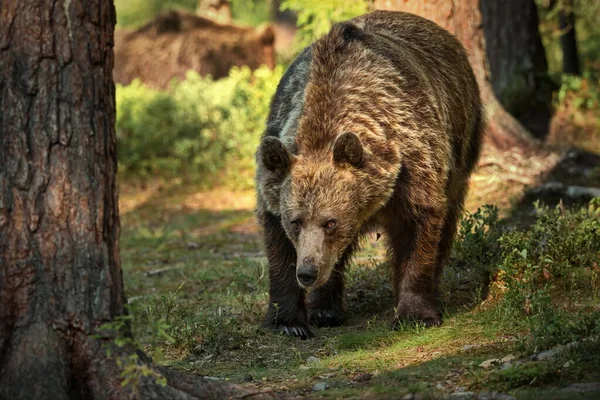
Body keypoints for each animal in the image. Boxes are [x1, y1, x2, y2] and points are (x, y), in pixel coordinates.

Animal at [255, 10, 486, 340]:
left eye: (330, 222)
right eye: (295, 221)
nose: (308, 272)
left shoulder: (412, 162)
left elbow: (419, 227)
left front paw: (415, 313)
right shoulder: (278, 164)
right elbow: (279, 247)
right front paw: (288, 322)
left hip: (462, 139)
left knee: (448, 217)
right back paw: (325, 309)